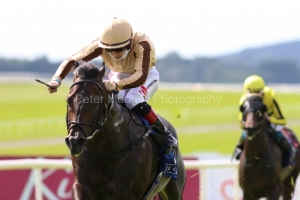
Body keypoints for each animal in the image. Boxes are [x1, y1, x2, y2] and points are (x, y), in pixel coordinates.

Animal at [64, 61, 185, 199]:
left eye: (96, 101)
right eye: (68, 99)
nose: (75, 140)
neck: (105, 151)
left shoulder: (132, 193)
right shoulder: (82, 186)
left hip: (174, 189)